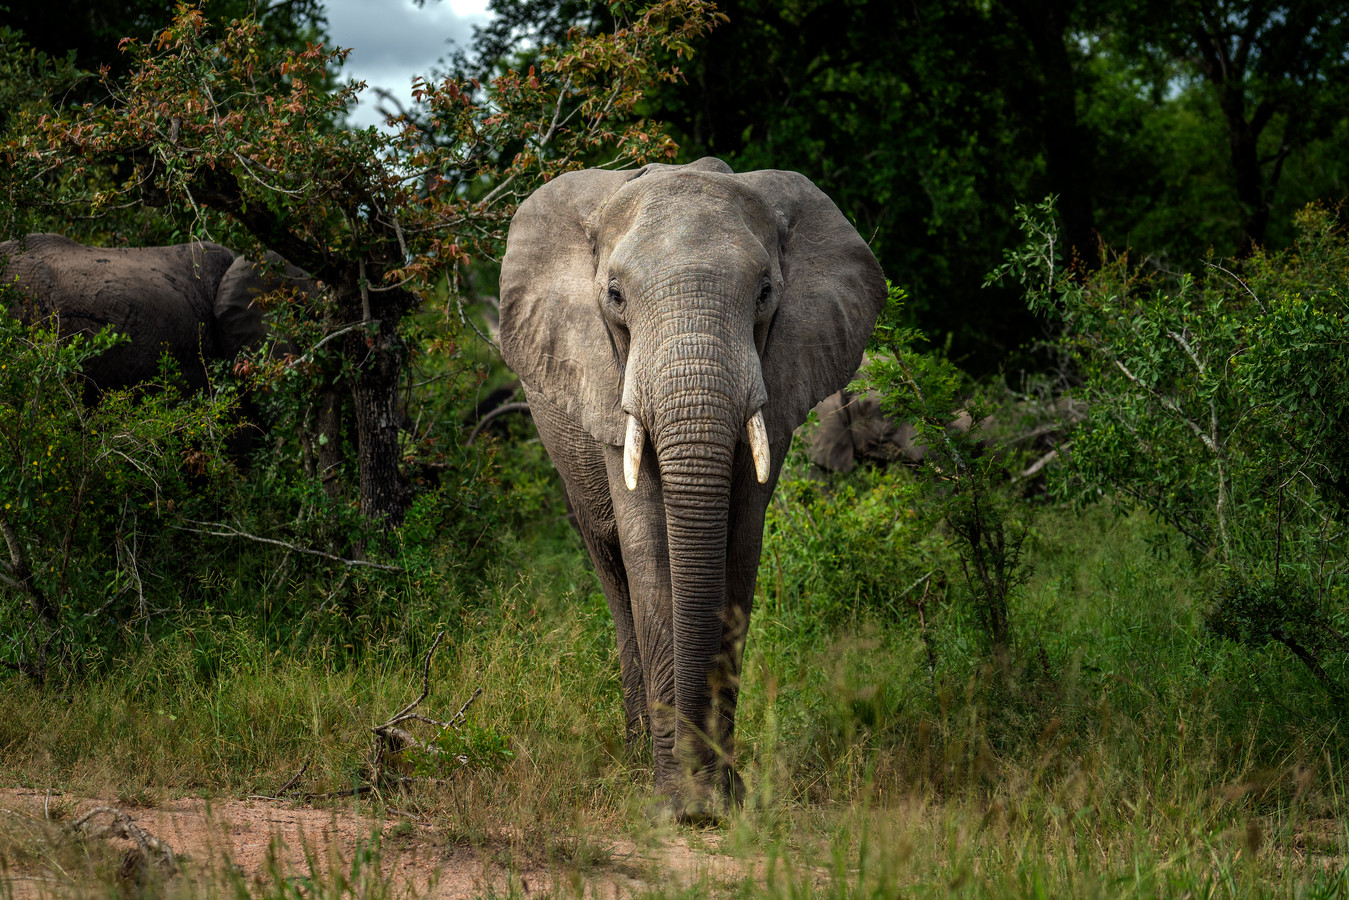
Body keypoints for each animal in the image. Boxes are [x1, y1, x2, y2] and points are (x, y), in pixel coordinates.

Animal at [496, 158, 884, 820]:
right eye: (615, 296)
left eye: (764, 292)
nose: (699, 797)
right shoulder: (607, 383)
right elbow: (649, 548)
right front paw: (675, 802)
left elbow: (739, 547)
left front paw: (722, 800)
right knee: (613, 574)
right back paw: (633, 760)